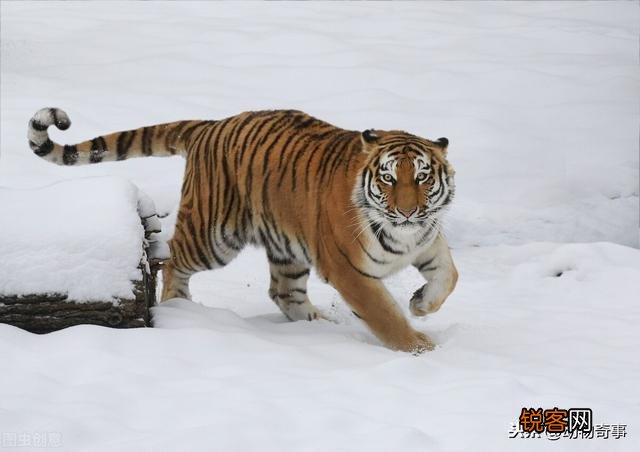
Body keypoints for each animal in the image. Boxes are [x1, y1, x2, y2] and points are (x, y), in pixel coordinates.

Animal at [27, 107, 458, 353]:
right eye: (388, 178)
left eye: (422, 177)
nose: (407, 211)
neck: (403, 234)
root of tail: (211, 125)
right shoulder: (349, 270)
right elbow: (383, 313)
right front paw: (417, 346)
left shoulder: (427, 240)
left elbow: (449, 276)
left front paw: (421, 305)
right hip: (214, 235)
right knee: (172, 259)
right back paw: (179, 307)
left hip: (287, 247)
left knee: (283, 292)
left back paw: (318, 325)